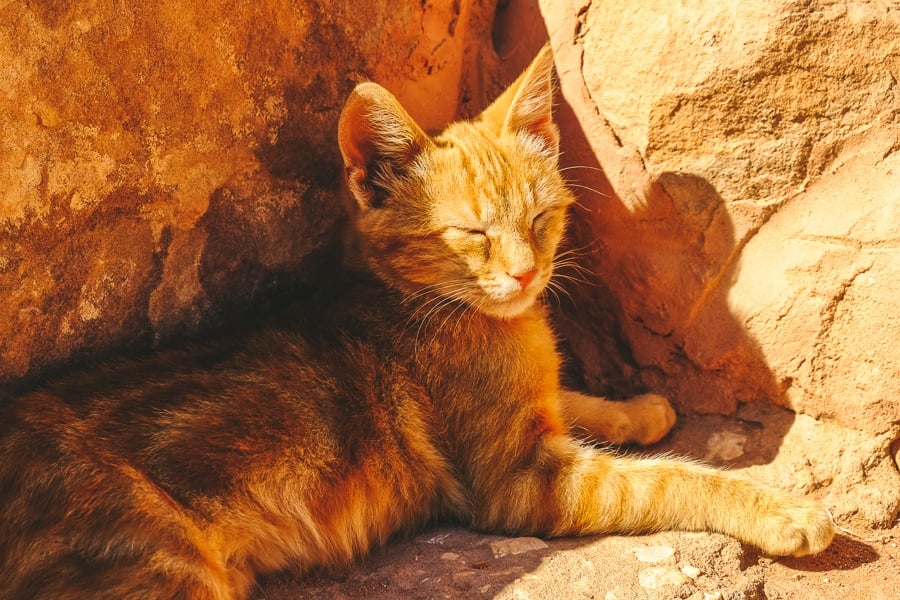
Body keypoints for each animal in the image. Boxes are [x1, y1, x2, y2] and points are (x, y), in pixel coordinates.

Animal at [0, 47, 832, 600]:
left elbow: (571, 398)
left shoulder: (535, 414)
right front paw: (783, 511)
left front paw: (635, 407)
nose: (526, 276)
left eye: (540, 219)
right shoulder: (522, 482)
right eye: (469, 234)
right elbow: (667, 481)